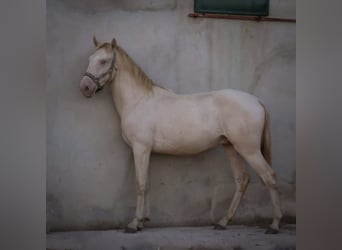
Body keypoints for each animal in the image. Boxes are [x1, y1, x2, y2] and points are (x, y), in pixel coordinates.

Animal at [79, 36, 282, 234]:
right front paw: (143, 221)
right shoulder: (146, 152)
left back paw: (274, 224)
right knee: (242, 180)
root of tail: (256, 100)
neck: (139, 101)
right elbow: (147, 184)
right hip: (231, 147)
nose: (85, 87)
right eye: (90, 59)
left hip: (249, 150)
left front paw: (134, 224)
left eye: (103, 61)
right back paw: (223, 222)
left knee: (269, 177)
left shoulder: (140, 149)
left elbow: (140, 184)